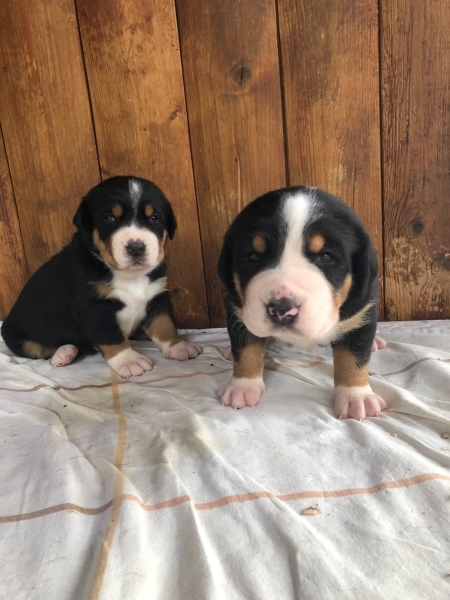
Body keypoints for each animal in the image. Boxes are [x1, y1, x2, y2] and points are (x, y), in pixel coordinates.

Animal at [1, 176, 201, 377]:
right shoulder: (93, 308)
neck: (130, 275)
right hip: (13, 333)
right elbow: (112, 336)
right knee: (39, 349)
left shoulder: (156, 296)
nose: (136, 247)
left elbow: (164, 325)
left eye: (154, 218)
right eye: (109, 218)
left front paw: (178, 347)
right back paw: (63, 353)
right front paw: (129, 361)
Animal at [217, 186, 387, 420]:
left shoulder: (360, 313)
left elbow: (354, 358)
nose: (282, 309)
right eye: (252, 257)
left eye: (325, 257)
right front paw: (242, 386)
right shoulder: (239, 312)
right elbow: (245, 349)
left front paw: (356, 396)